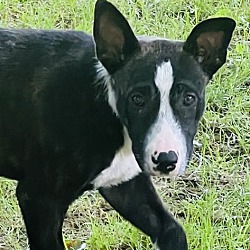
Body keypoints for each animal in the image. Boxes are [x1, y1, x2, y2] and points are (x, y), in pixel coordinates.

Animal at [0, 0, 234, 250]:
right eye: (137, 99)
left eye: (189, 99)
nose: (166, 161)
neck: (107, 106)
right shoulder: (39, 200)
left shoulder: (125, 184)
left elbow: (172, 230)